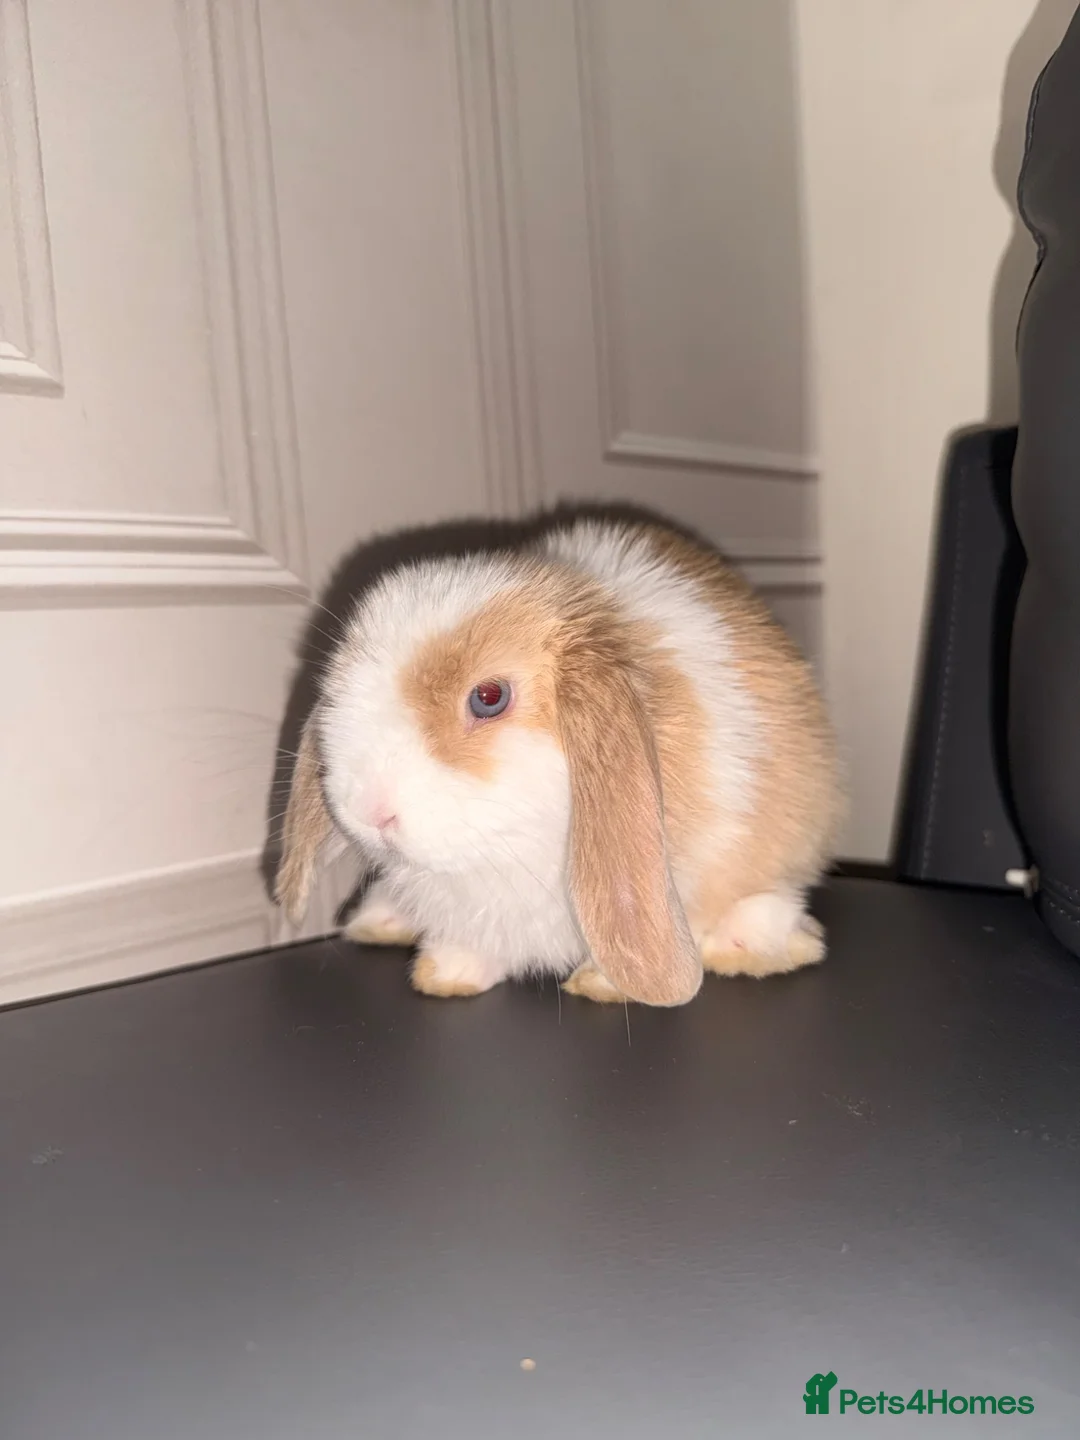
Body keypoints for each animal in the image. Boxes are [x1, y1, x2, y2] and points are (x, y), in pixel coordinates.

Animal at [274, 516, 844, 1006]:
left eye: (488, 697)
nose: (371, 812)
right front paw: (447, 973)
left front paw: (603, 985)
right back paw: (380, 921)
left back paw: (753, 943)